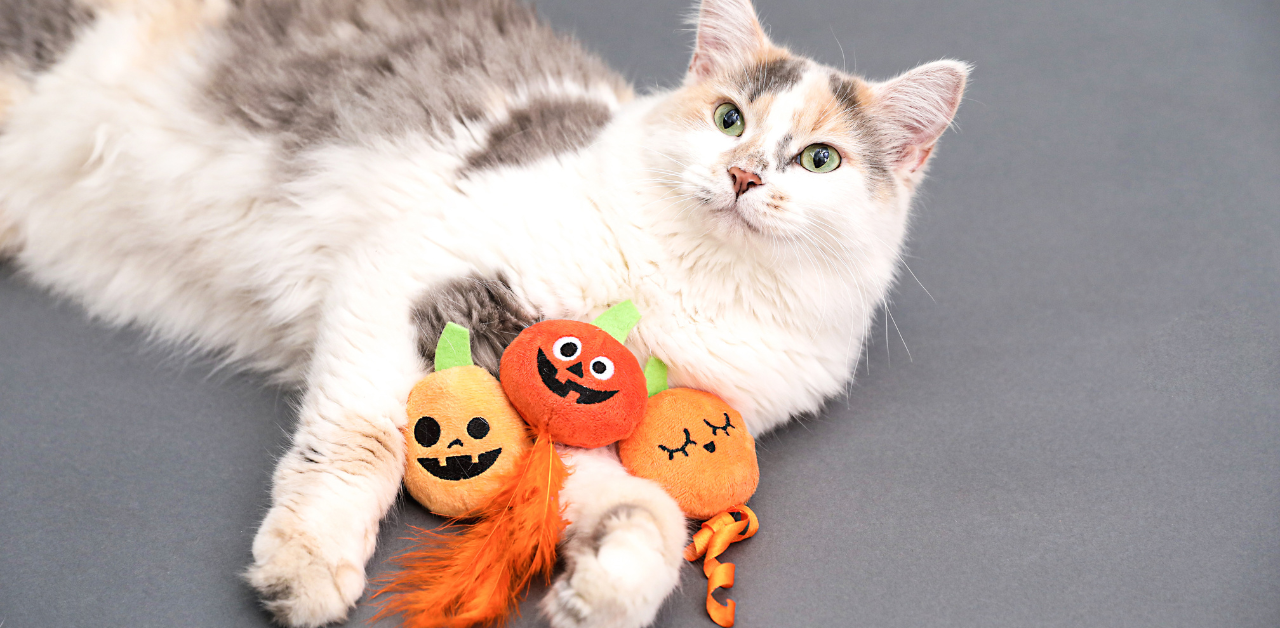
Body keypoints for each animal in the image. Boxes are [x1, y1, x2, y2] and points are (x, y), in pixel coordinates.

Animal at [0, 0, 962, 626]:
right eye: (729, 119)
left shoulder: (565, 419)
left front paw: (603, 592)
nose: (743, 175)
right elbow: (360, 441)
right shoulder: (402, 270)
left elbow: (644, 510)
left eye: (819, 160)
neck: (689, 285)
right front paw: (305, 567)